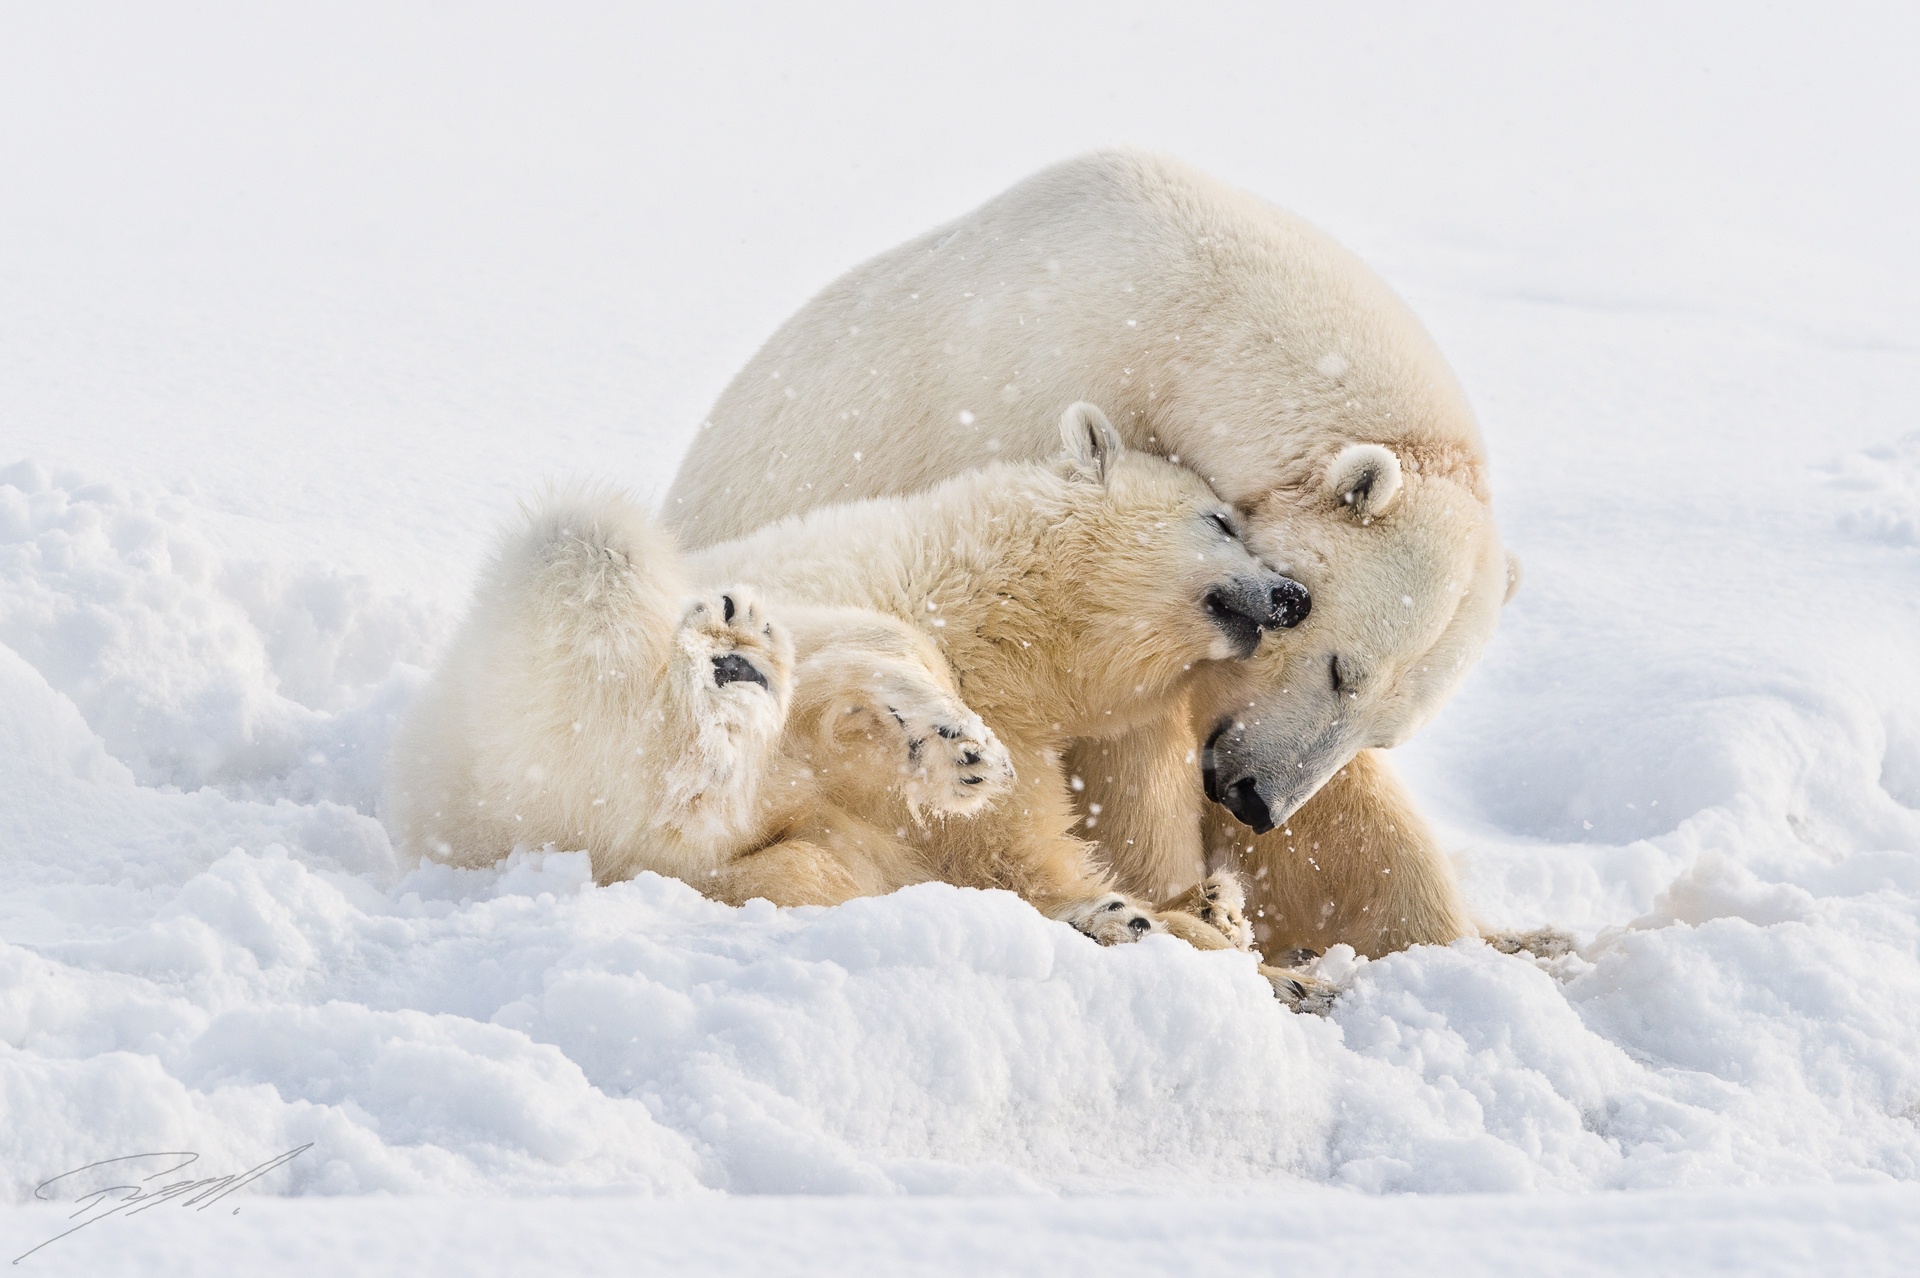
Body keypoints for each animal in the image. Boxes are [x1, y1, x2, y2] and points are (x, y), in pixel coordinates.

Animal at [382, 402, 1297, 951]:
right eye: (1221, 520)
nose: (1294, 594)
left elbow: (1016, 855)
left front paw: (1175, 913)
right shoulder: (825, 577)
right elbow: (858, 642)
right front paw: (953, 740)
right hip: (520, 706)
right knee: (590, 546)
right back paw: (733, 680)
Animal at [672, 149, 1528, 955]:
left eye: (1388, 728)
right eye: (1340, 669)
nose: (1255, 799)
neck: (1194, 324)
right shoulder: (1050, 413)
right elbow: (1116, 733)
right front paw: (1181, 902)